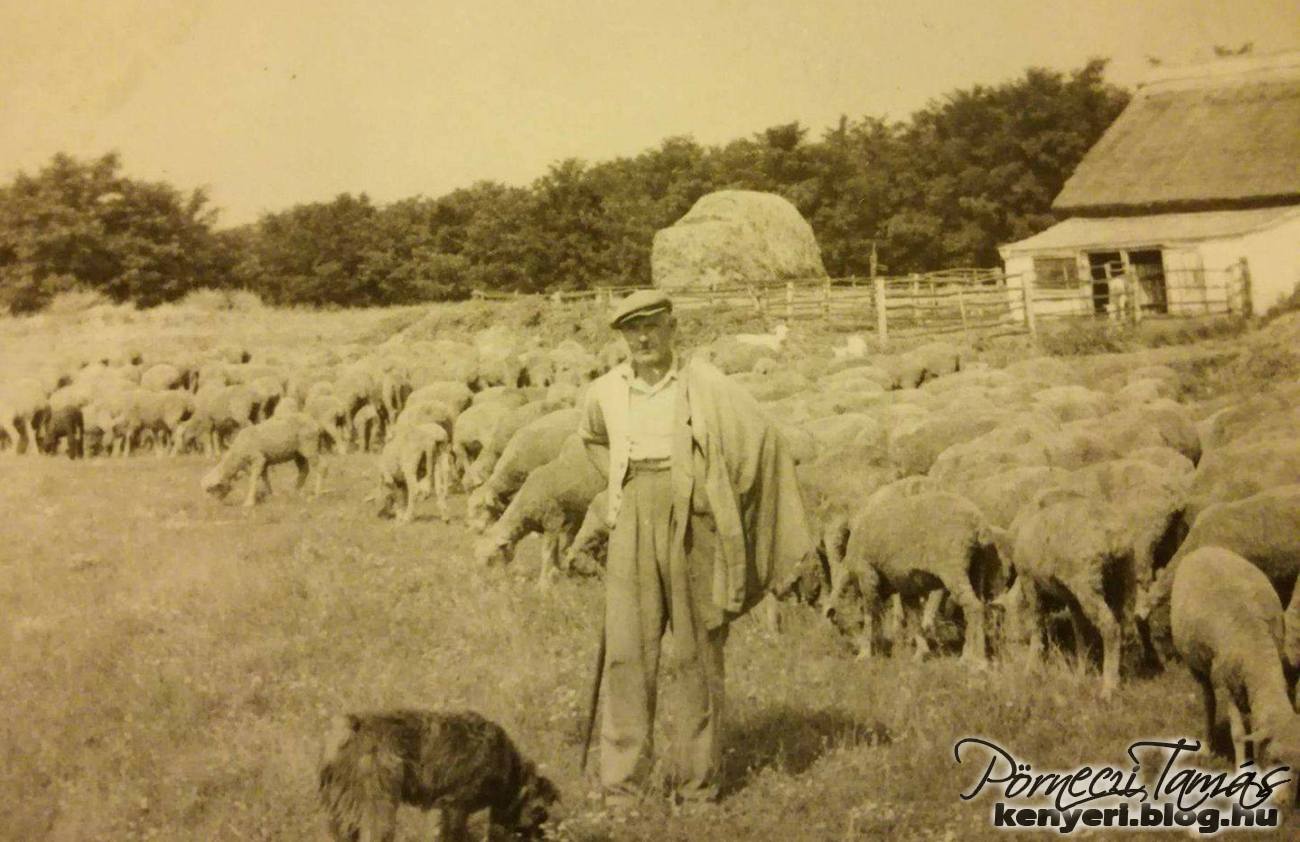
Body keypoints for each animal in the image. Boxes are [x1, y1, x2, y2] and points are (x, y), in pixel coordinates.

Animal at [201, 413, 330, 506]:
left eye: (210, 490)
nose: (210, 506)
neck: (237, 454)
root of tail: (317, 424)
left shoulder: (258, 459)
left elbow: (253, 480)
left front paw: (249, 503)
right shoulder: (264, 462)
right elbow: (265, 479)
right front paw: (270, 495)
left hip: (309, 446)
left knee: (322, 466)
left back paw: (316, 495)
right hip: (298, 453)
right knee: (304, 470)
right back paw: (296, 492)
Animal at [473, 433, 608, 584]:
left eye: (490, 559)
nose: (488, 582)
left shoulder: (553, 521)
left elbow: (547, 553)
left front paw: (544, 582)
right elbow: (555, 552)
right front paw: (556, 572)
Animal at [1170, 545, 1300, 790]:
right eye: (1276, 760)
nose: (1286, 801)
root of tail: (1202, 549)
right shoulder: (1227, 681)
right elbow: (1238, 733)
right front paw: (1242, 771)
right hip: (1197, 665)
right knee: (1208, 701)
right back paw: (1208, 746)